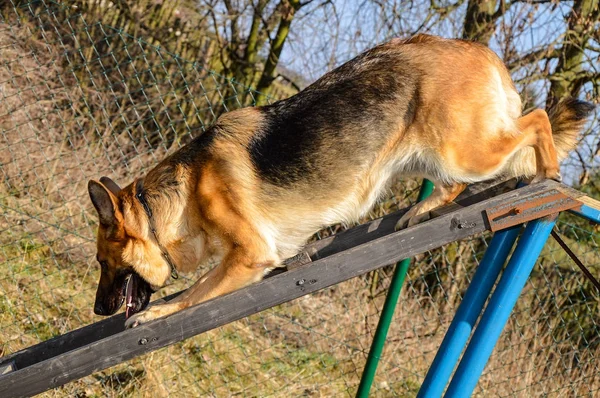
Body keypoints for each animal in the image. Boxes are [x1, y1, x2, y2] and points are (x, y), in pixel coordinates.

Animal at [86, 34, 592, 326]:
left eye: (102, 262)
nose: (96, 310)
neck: (172, 202)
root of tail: (479, 49)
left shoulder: (250, 255)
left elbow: (194, 293)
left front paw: (160, 312)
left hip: (465, 152)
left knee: (539, 119)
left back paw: (549, 173)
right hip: (431, 160)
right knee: (454, 185)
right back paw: (420, 210)